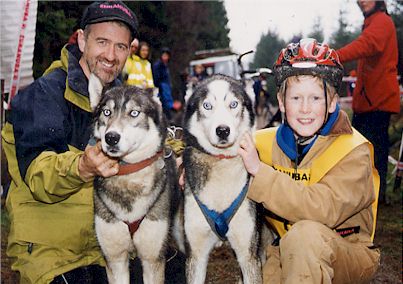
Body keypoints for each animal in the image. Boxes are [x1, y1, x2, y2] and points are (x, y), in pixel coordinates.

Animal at [90, 74, 182, 284]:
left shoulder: (152, 260)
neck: (129, 177)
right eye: (107, 112)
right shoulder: (115, 259)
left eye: (134, 113)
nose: (111, 137)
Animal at [183, 74, 266, 282]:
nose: (222, 130)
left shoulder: (248, 255)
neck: (221, 162)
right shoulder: (196, 255)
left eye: (234, 104)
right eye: (207, 105)